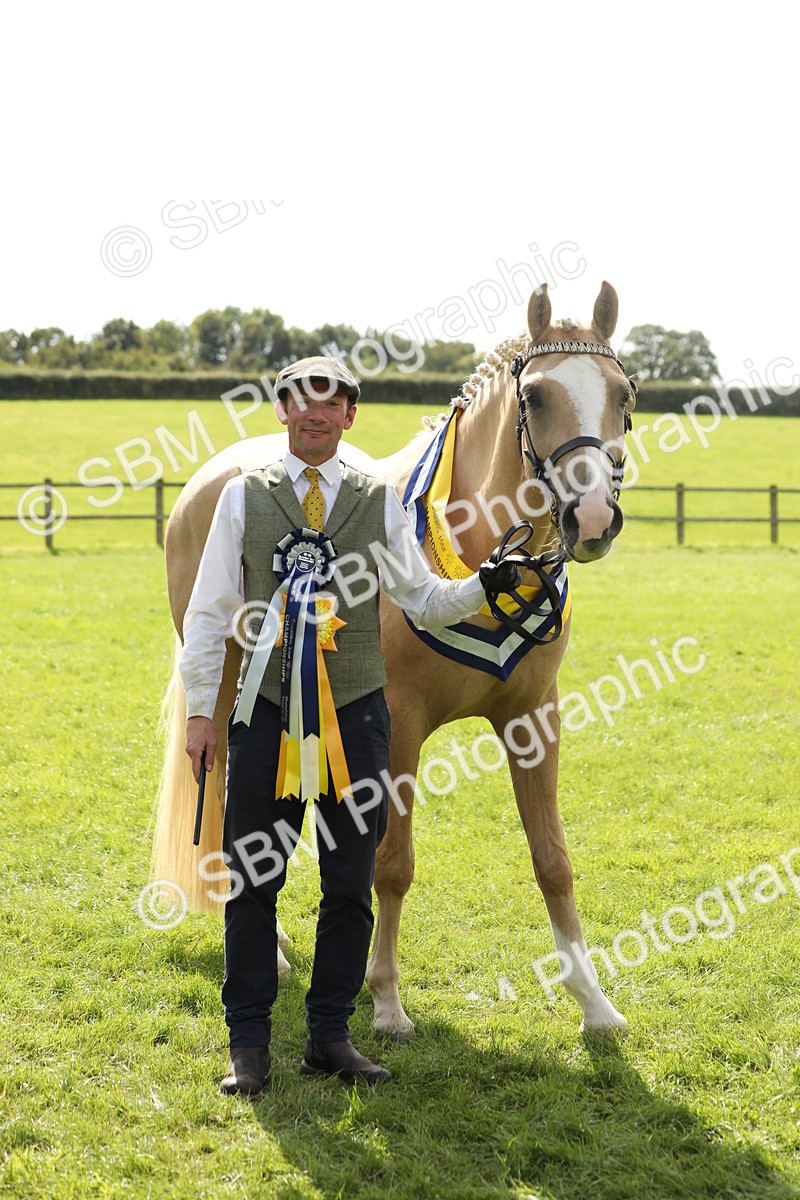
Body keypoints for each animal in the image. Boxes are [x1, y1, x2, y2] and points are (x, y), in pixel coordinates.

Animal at [151, 280, 635, 1036]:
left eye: (624, 393)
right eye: (535, 397)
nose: (591, 518)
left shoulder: (534, 719)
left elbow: (553, 860)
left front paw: (595, 1004)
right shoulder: (400, 725)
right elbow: (393, 863)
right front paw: (384, 1001)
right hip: (232, 689)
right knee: (233, 805)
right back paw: (279, 952)